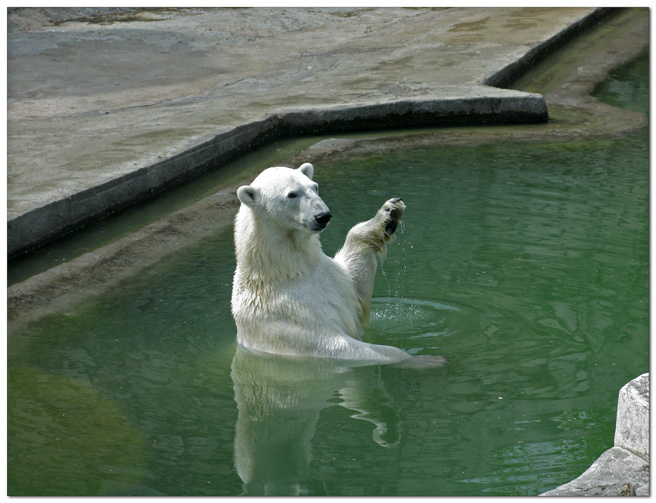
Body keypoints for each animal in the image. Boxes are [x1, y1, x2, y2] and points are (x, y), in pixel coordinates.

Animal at [231, 162, 445, 366]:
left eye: (315, 187)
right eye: (292, 194)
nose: (323, 216)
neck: (285, 271)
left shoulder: (330, 275)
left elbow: (357, 288)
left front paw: (388, 214)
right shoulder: (290, 315)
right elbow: (335, 346)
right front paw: (425, 359)